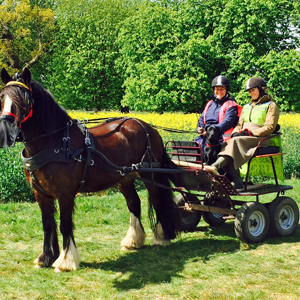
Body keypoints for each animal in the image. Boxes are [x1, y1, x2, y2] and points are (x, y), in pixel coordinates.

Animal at [0, 67, 178, 272]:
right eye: (2, 96)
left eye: (24, 99)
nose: (5, 133)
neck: (56, 142)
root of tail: (147, 127)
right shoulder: (41, 194)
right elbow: (47, 224)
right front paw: (46, 257)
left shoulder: (65, 193)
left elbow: (65, 224)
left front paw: (66, 261)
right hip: (125, 178)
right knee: (134, 203)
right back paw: (133, 241)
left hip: (150, 174)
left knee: (157, 200)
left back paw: (161, 237)